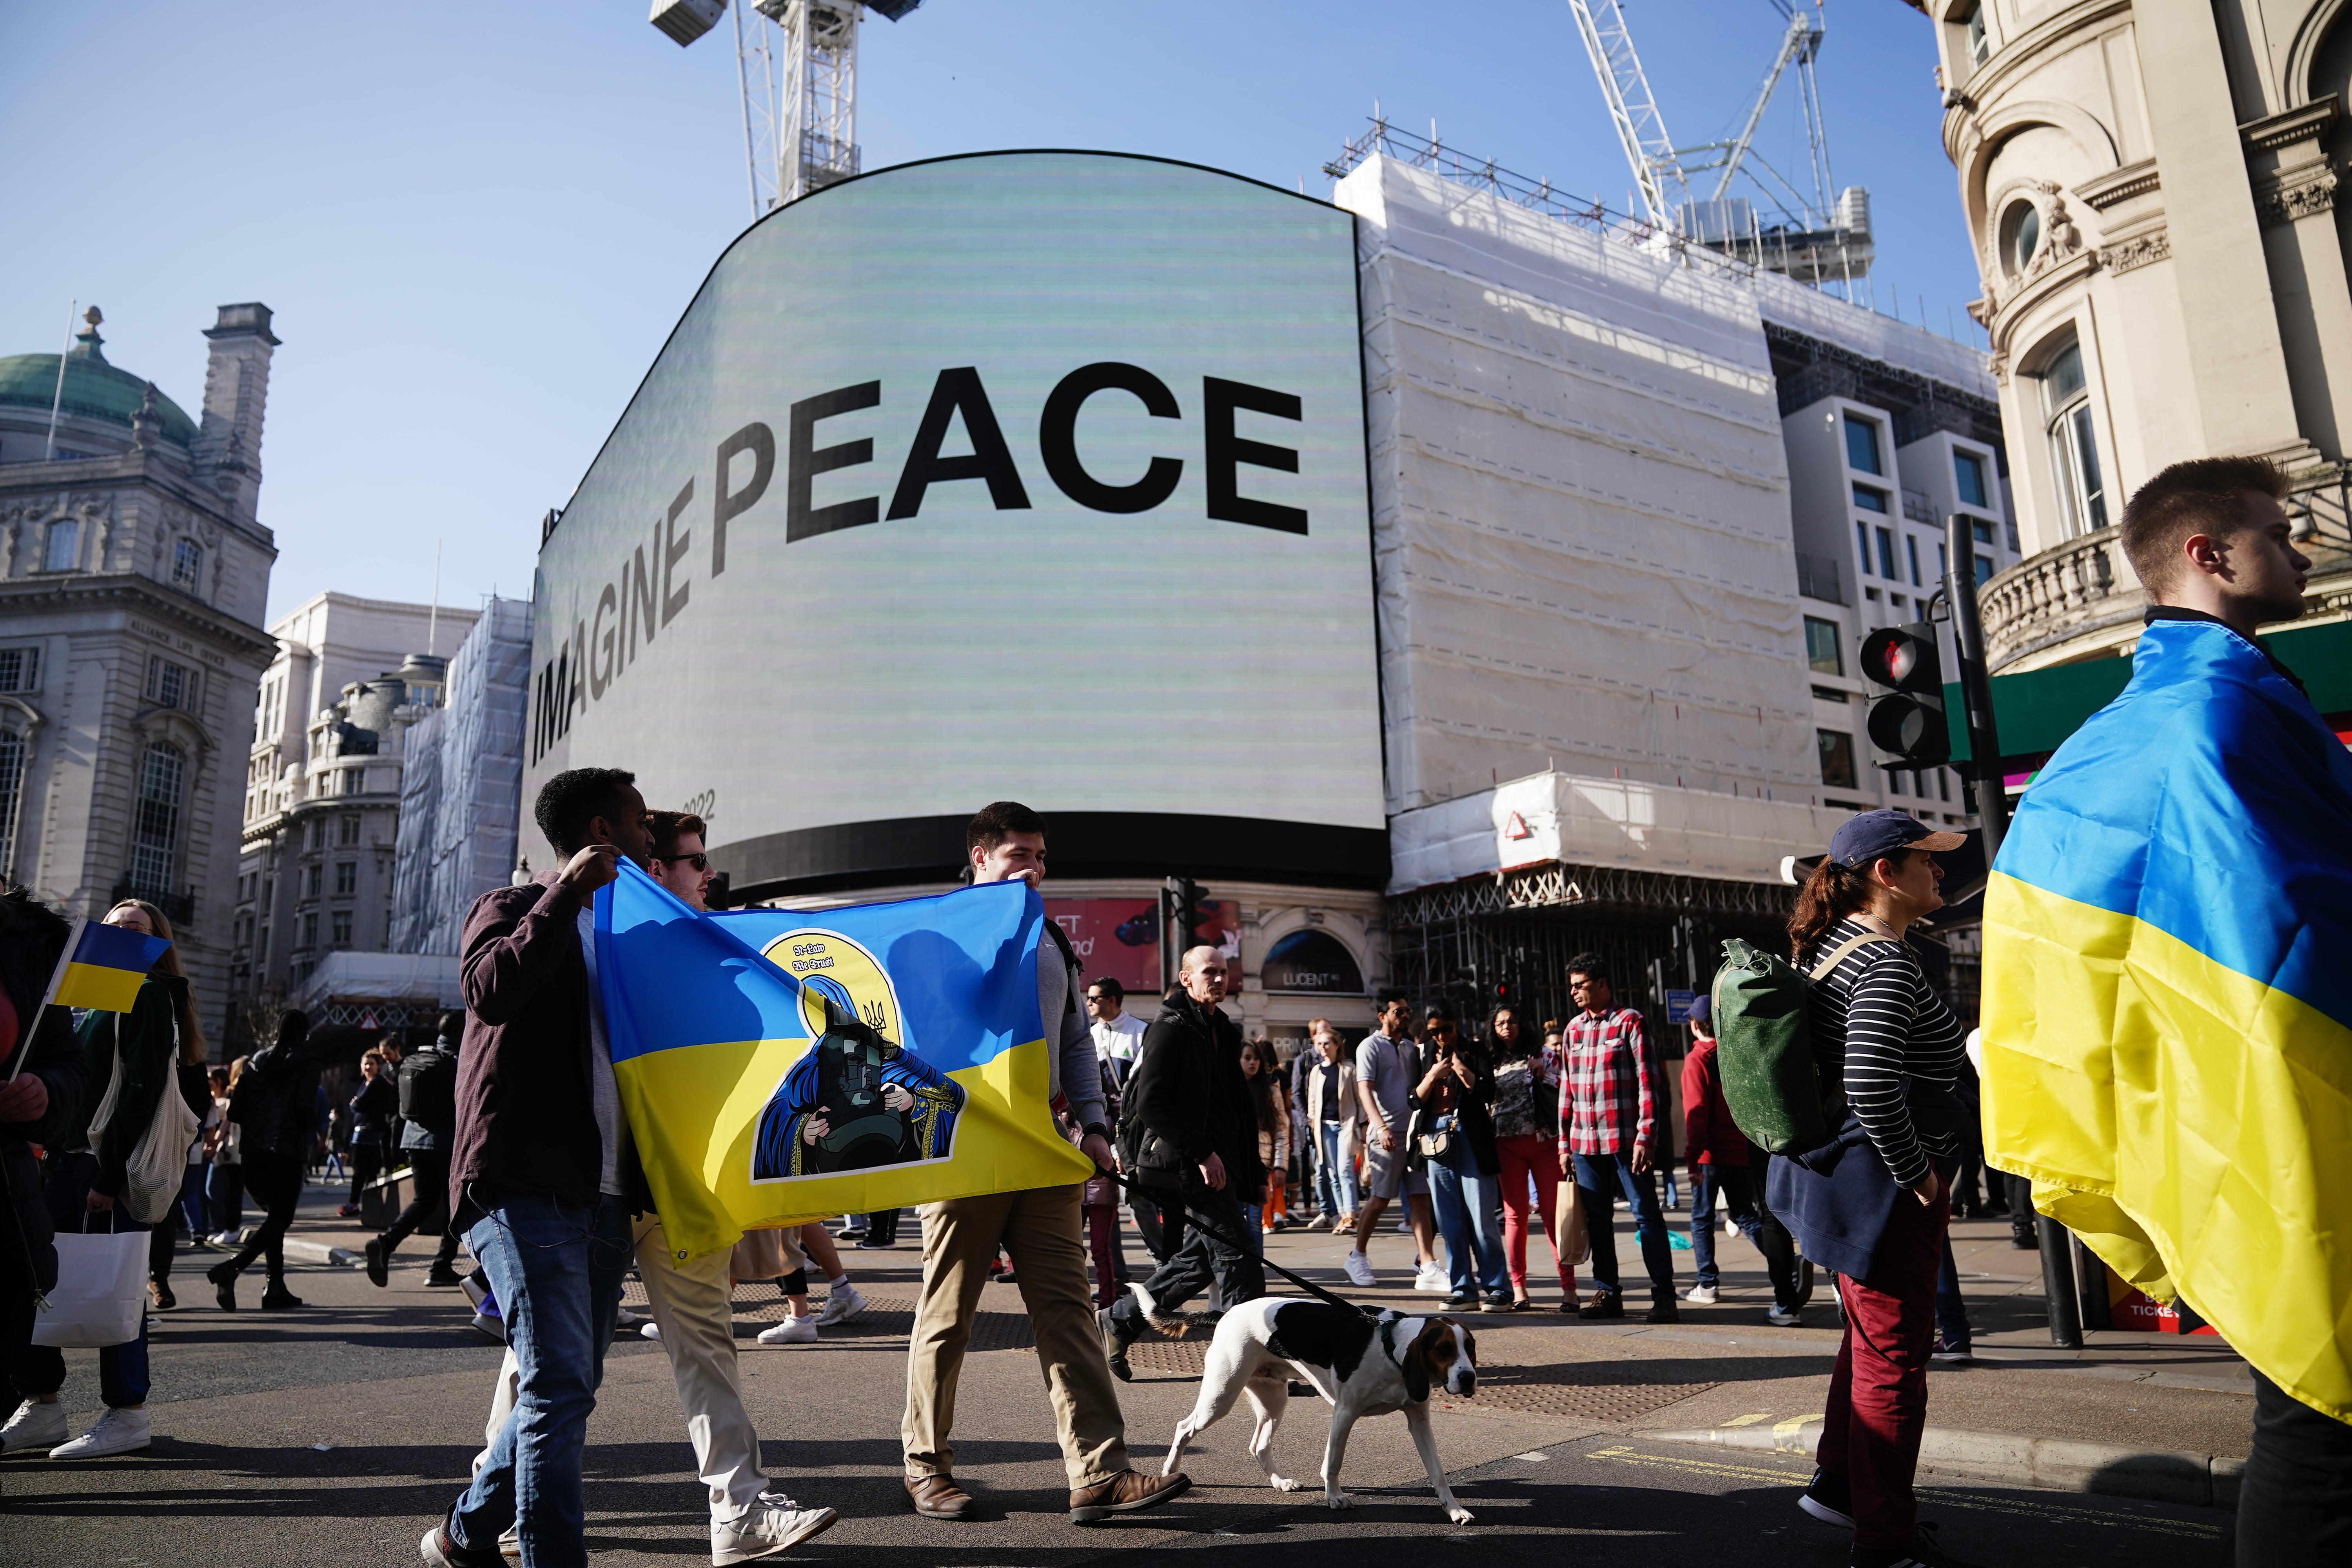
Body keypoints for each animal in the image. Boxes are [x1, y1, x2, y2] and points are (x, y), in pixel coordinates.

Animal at [1148, 1288, 1477, 1523]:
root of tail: (1227, 1312)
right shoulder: (1344, 1413)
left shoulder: (1419, 1421)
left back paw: (1280, 1482)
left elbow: (1438, 1472)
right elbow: (1334, 1462)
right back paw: (1169, 1472)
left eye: (1470, 1348)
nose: (1469, 1378)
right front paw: (1334, 1497)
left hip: (1274, 1401)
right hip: (1220, 1398)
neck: (1390, 1347)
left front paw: (1454, 1509)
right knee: (1184, 1428)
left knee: (1259, 1446)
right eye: (1443, 1349)